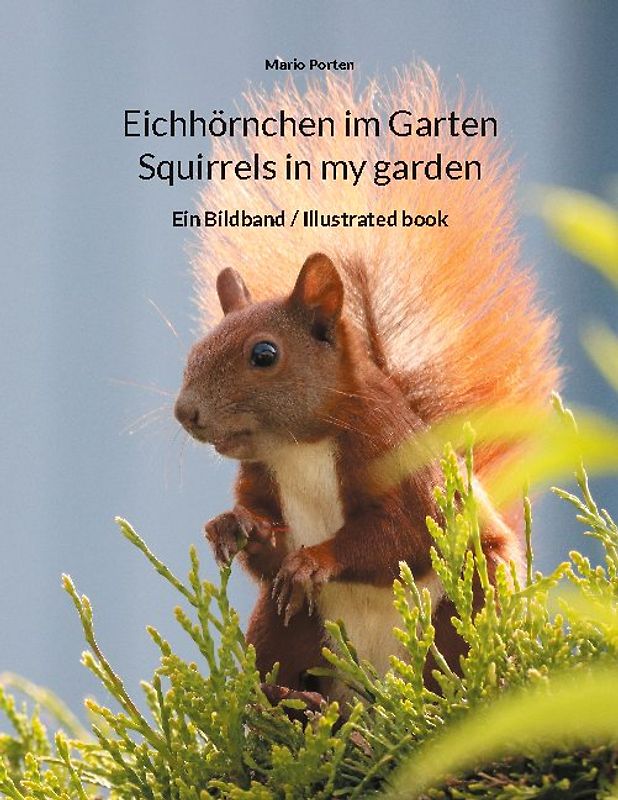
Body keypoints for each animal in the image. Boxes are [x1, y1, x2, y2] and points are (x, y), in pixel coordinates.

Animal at [174, 65, 560, 703]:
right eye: (194, 350)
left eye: (264, 354)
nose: (186, 414)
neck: (300, 447)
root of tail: (371, 689)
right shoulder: (262, 480)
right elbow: (267, 553)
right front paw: (233, 526)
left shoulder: (403, 467)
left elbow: (398, 536)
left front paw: (317, 559)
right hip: (286, 626)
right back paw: (294, 704)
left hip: (470, 599)